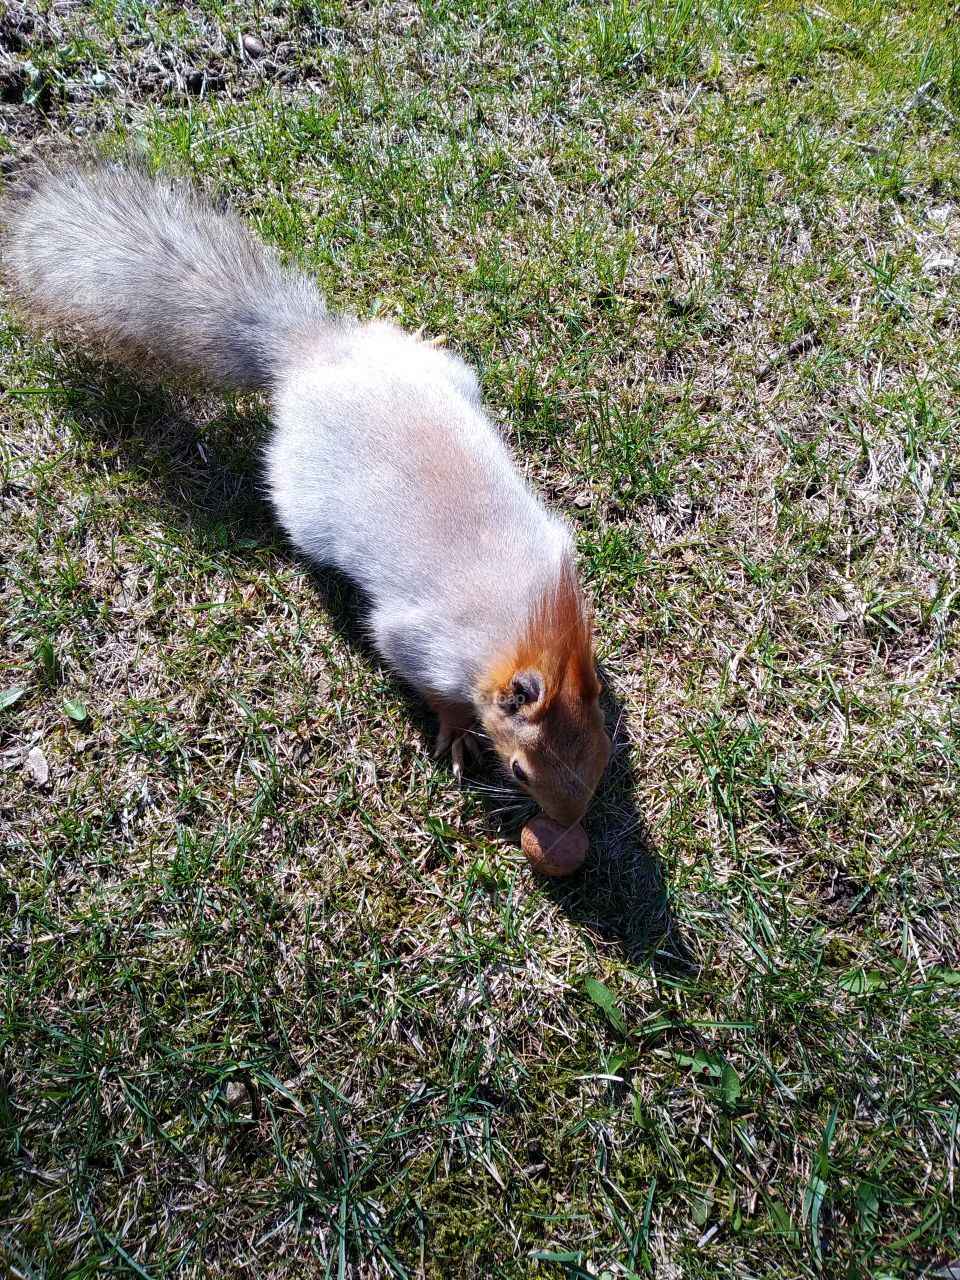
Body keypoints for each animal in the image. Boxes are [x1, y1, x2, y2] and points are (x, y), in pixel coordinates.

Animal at [2, 162, 612, 826]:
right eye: (522, 771)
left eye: (603, 750)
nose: (570, 823)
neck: (524, 624)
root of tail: (310, 354)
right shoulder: (418, 642)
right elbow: (430, 687)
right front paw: (455, 734)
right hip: (300, 498)